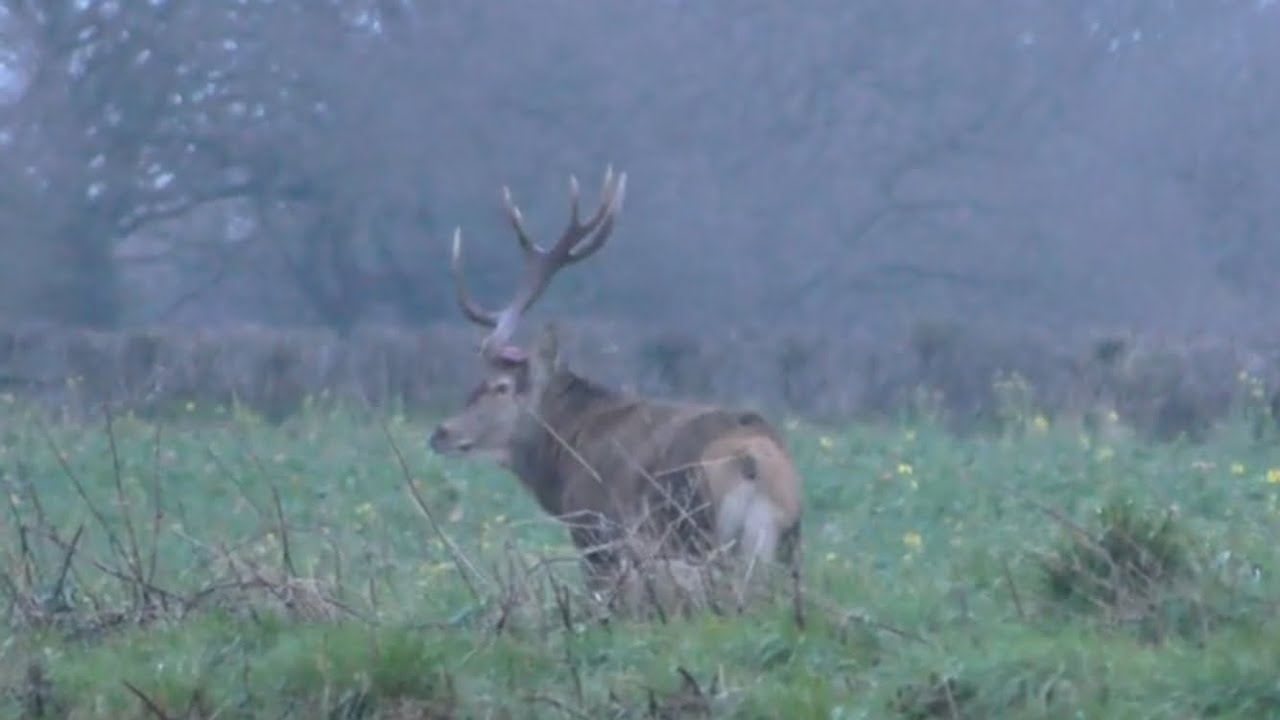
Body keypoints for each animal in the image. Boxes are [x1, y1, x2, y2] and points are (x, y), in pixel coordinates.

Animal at [428, 166, 804, 603]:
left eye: (501, 386)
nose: (441, 433)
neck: (565, 456)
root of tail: (753, 463)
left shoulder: (595, 532)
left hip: (693, 535)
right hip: (785, 545)